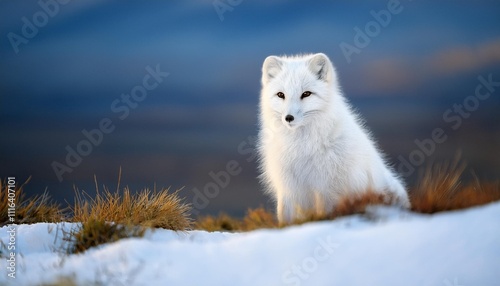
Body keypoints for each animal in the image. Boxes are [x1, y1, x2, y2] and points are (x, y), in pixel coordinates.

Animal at [258, 53, 410, 223]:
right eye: (280, 95)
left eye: (306, 94)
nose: (288, 118)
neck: (301, 145)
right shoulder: (288, 188)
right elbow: (285, 219)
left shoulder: (327, 189)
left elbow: (325, 214)